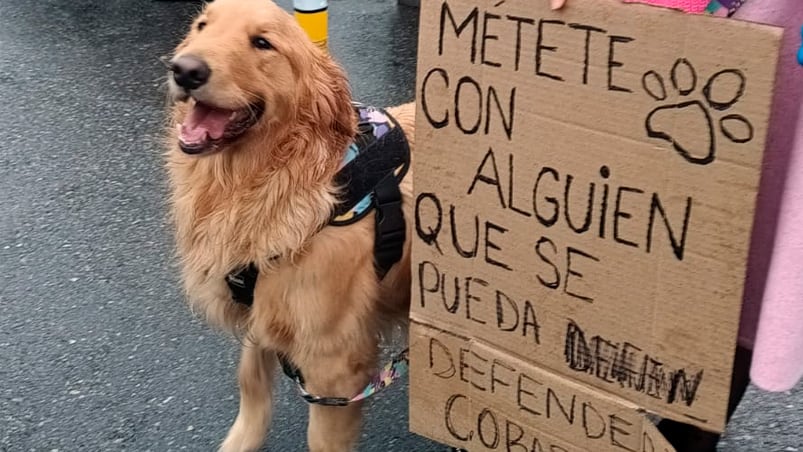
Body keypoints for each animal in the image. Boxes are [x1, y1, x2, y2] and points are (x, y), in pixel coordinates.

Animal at [163, 0, 414, 450]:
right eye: (201, 26)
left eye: (263, 43)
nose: (185, 70)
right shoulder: (261, 314)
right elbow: (251, 388)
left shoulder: (335, 368)